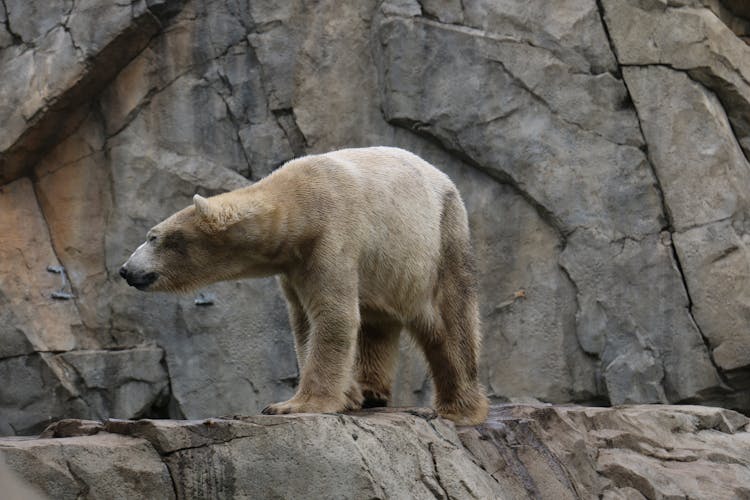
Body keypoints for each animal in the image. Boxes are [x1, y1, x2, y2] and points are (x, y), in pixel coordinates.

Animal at [120, 146, 490, 424]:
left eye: (153, 237)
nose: (125, 270)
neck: (297, 205)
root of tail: (444, 179)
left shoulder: (333, 236)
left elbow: (332, 317)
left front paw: (292, 405)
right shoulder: (292, 266)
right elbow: (304, 323)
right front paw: (347, 396)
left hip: (442, 235)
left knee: (450, 323)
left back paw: (457, 409)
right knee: (375, 324)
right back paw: (369, 392)